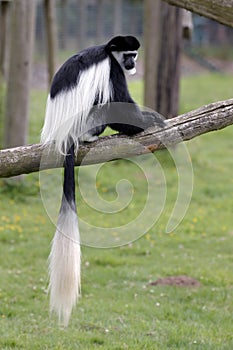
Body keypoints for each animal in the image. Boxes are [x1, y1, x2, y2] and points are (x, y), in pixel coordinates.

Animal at [41, 34, 163, 326]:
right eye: (128, 56)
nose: (133, 64)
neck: (108, 52)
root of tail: (65, 137)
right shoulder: (112, 70)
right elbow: (119, 100)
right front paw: (148, 121)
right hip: (88, 120)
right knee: (105, 105)